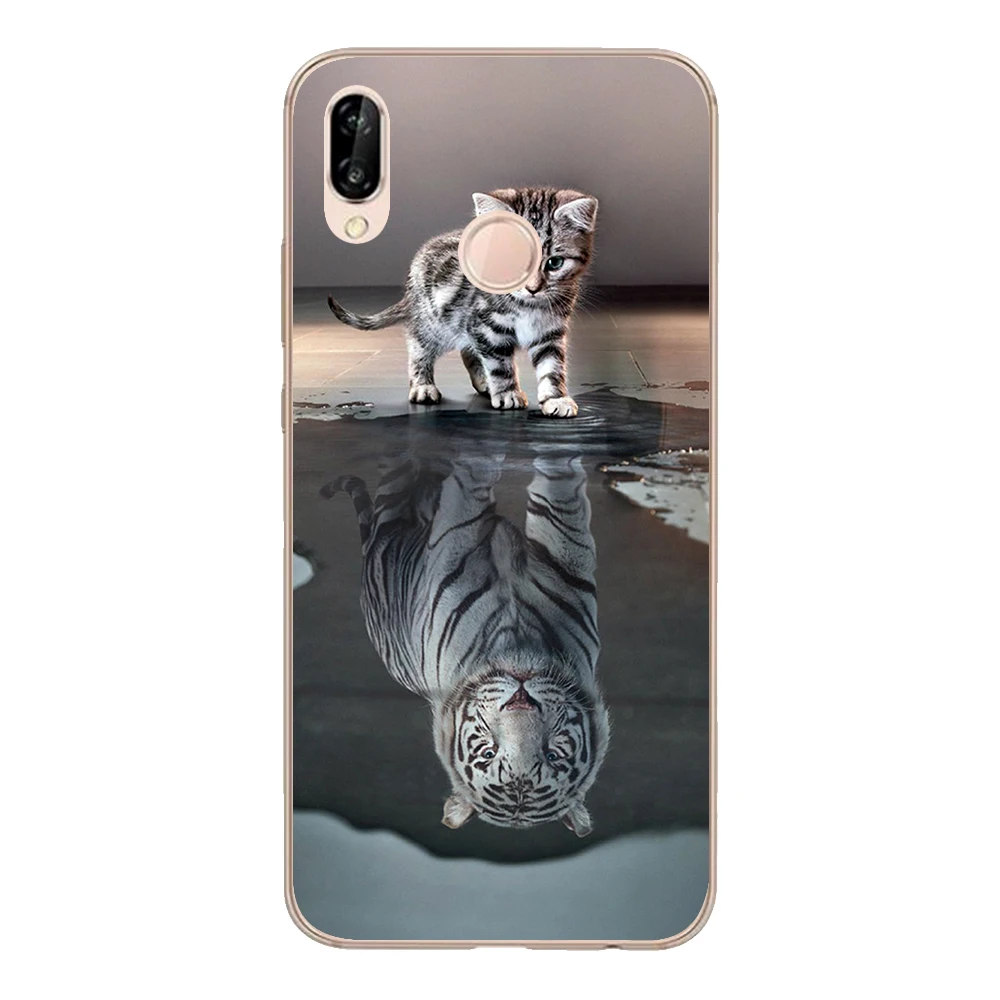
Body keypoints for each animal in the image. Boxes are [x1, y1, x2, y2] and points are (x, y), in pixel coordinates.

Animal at [322, 442, 609, 836]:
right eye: (488, 753)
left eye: (552, 755)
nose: (521, 697)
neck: (517, 641)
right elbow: (490, 492)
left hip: (393, 509)